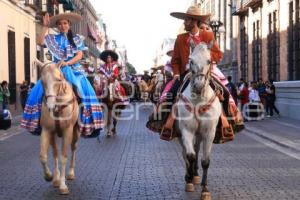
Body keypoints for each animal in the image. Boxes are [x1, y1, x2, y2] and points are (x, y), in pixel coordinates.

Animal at [35, 60, 79, 195]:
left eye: (58, 80)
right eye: (42, 81)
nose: (50, 106)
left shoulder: (67, 131)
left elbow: (63, 157)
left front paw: (63, 186)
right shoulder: (46, 130)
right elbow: (43, 156)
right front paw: (49, 176)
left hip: (75, 133)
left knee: (73, 148)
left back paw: (70, 173)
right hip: (53, 135)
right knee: (54, 152)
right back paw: (56, 178)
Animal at [175, 43, 221, 200]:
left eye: (209, 61)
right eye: (191, 61)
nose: (199, 86)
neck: (199, 101)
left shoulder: (209, 133)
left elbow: (205, 161)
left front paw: (205, 189)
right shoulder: (186, 130)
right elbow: (190, 155)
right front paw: (188, 179)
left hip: (200, 134)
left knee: (196, 148)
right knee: (186, 153)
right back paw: (190, 176)